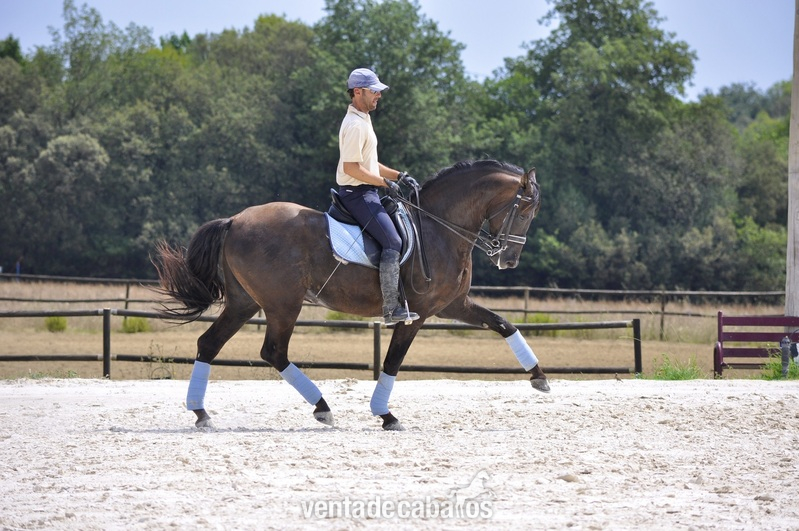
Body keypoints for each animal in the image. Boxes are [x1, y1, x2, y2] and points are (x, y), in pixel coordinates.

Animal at [152, 159, 549, 431]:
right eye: (525, 210)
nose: (508, 260)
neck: (440, 229)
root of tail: (235, 220)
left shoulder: (453, 305)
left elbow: (504, 324)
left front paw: (539, 377)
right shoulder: (417, 314)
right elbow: (392, 361)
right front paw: (386, 415)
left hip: (244, 303)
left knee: (209, 343)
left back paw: (201, 412)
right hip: (283, 304)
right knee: (273, 351)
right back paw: (322, 407)